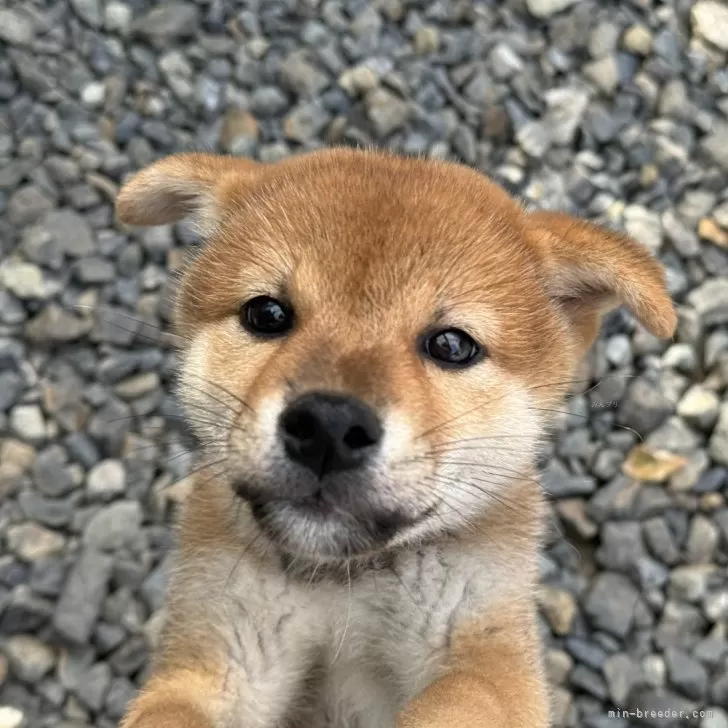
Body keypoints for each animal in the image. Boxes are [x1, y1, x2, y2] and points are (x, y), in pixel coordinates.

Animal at [115, 149, 676, 728]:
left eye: (452, 345)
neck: (342, 583)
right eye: (266, 313)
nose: (329, 426)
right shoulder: (223, 644)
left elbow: (461, 700)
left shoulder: (485, 645)